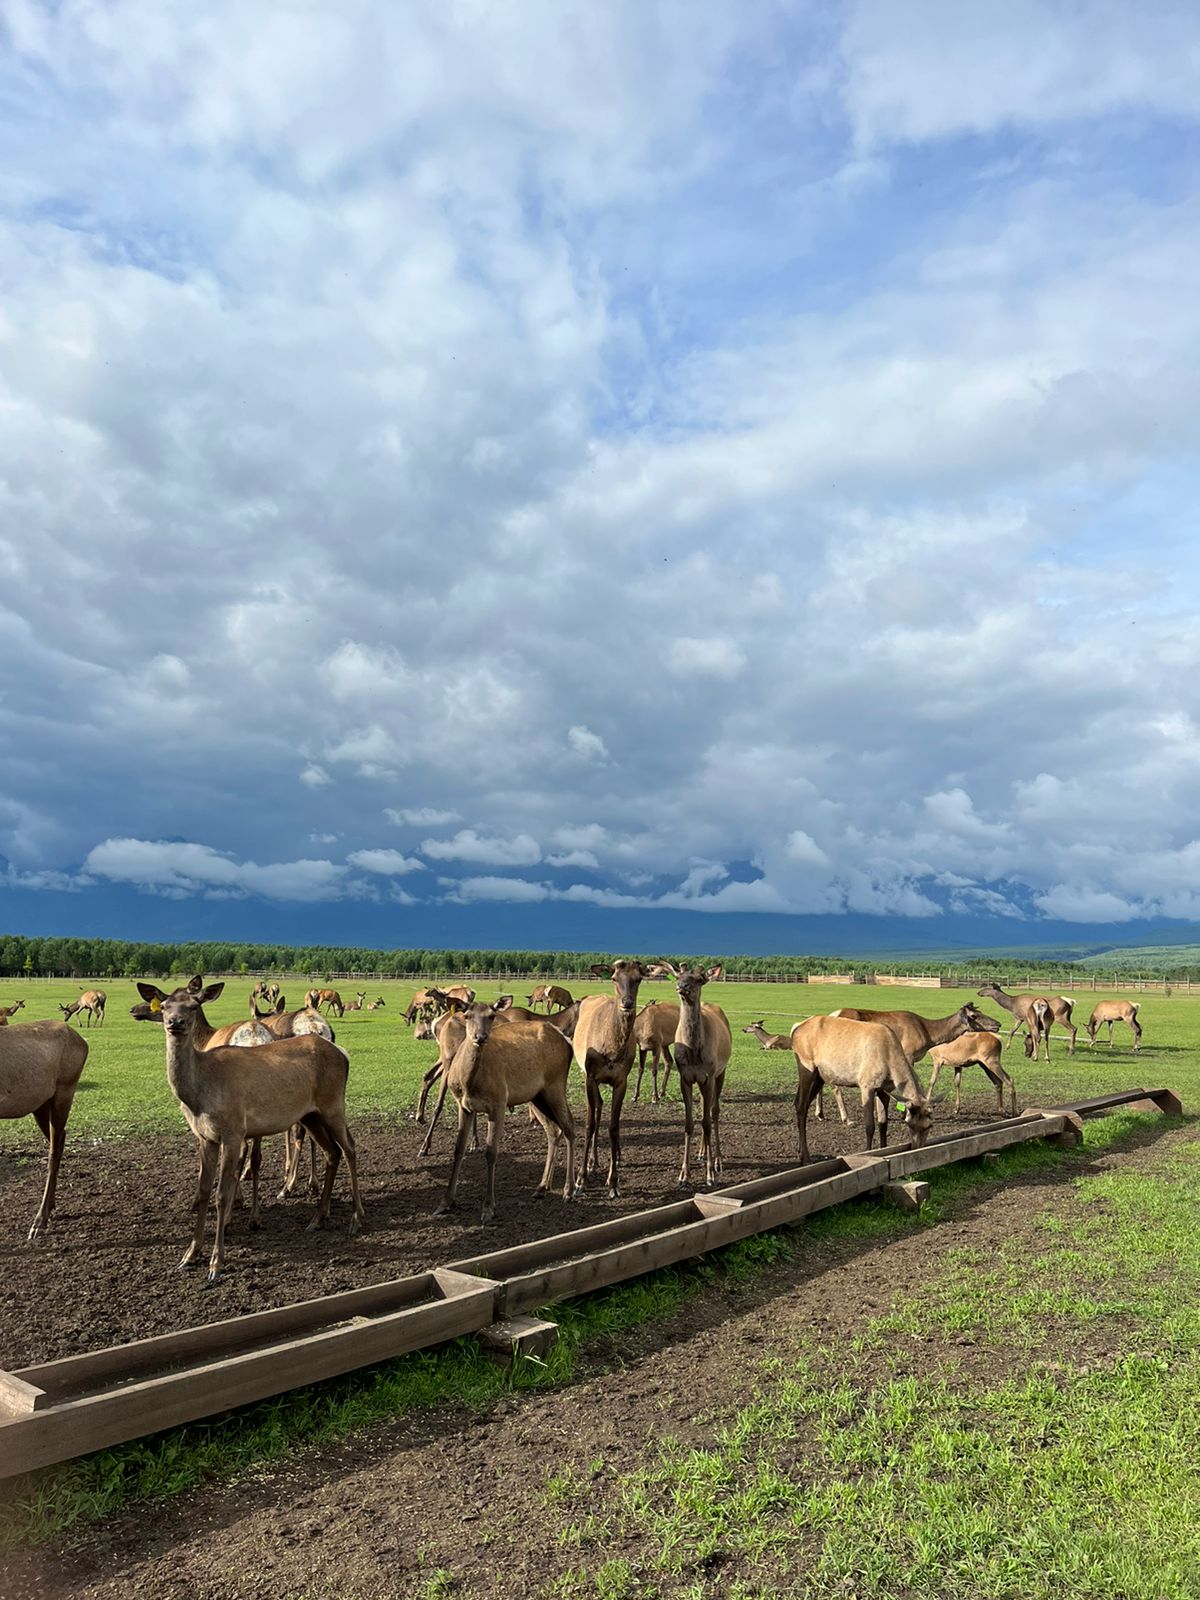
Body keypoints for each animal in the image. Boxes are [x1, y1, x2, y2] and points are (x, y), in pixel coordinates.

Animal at [138, 972, 364, 1286]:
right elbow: (204, 1190)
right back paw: (317, 1218)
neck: (198, 1094)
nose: (175, 1022)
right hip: (311, 1115)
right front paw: (189, 1255)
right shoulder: (206, 1137)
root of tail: (343, 1054)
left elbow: (221, 1195)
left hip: (333, 1105)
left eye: (193, 1006)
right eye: (165, 1006)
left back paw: (355, 1219)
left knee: (351, 1148)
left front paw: (216, 1263)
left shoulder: (233, 1131)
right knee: (333, 1152)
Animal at [438, 998, 579, 1222]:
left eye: (491, 1015)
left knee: (569, 1127)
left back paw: (569, 1190)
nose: (480, 1037)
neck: (469, 1083)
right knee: (553, 1130)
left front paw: (488, 1208)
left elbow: (491, 1152)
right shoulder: (463, 1105)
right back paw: (542, 1186)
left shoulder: (498, 1102)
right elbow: (458, 1149)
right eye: (467, 1015)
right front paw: (446, 1202)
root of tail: (567, 1040)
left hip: (555, 1083)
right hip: (536, 1095)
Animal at [569, 953, 659, 1196]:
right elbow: (589, 1124)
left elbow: (614, 1127)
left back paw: (609, 1158)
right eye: (614, 978)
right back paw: (591, 1163)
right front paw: (580, 1180)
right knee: (596, 1109)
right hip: (584, 1073)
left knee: (601, 1108)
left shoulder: (621, 1081)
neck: (610, 1050)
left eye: (638, 978)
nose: (627, 1003)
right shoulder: (590, 1076)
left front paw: (613, 1182)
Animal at [659, 960, 732, 1190]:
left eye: (699, 979)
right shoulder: (686, 1077)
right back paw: (701, 1152)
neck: (693, 1052)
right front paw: (684, 1175)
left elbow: (707, 1122)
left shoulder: (709, 1074)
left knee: (714, 1112)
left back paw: (718, 1160)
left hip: (721, 1072)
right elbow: (689, 1123)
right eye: (678, 975)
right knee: (703, 1109)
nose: (682, 986)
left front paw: (710, 1175)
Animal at [790, 1017, 940, 1171]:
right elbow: (869, 1126)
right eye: (909, 1124)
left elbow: (883, 1124)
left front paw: (884, 1149)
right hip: (806, 1066)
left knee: (799, 1102)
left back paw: (801, 1153)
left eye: (930, 1126)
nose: (917, 1148)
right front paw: (868, 1153)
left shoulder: (884, 1090)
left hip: (819, 1076)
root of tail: (796, 1030)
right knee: (801, 1105)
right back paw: (806, 1158)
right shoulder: (866, 1085)